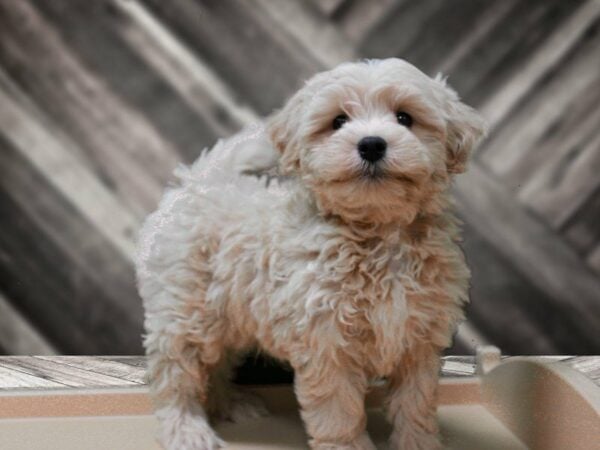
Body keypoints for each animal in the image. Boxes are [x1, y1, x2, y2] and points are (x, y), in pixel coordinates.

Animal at [137, 58, 488, 448]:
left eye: (405, 118)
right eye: (338, 121)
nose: (371, 144)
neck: (377, 231)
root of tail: (198, 184)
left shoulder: (418, 335)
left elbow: (416, 402)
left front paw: (419, 443)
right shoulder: (327, 339)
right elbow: (339, 408)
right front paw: (347, 445)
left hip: (233, 311)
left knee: (218, 361)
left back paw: (229, 404)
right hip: (186, 309)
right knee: (176, 370)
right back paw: (186, 427)